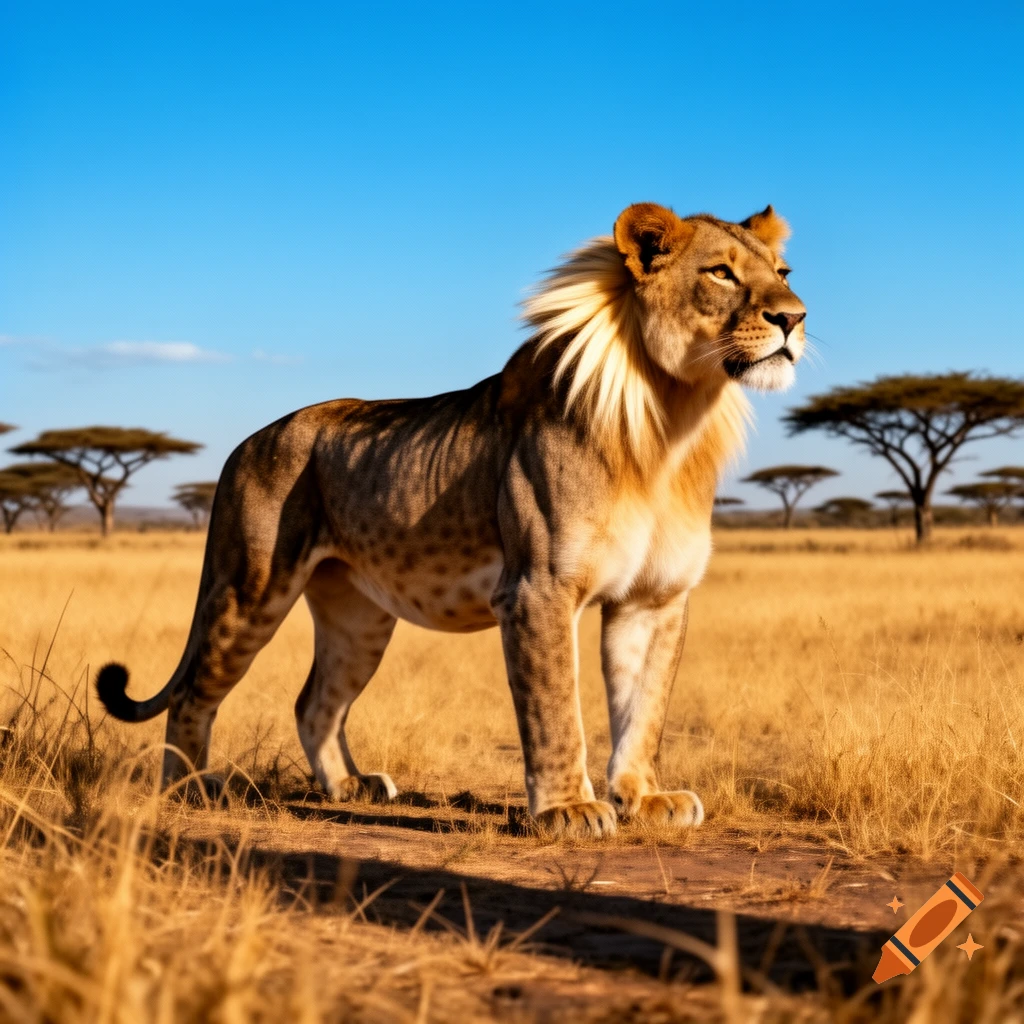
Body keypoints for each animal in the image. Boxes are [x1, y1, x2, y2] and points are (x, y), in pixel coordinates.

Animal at [97, 202, 806, 837]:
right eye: (721, 272)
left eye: (784, 271)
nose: (795, 318)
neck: (674, 422)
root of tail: (244, 444)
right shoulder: (537, 589)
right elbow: (555, 709)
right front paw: (567, 811)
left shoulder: (654, 598)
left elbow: (645, 708)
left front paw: (645, 798)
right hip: (251, 591)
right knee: (193, 694)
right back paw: (192, 789)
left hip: (359, 618)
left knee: (315, 702)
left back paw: (351, 786)